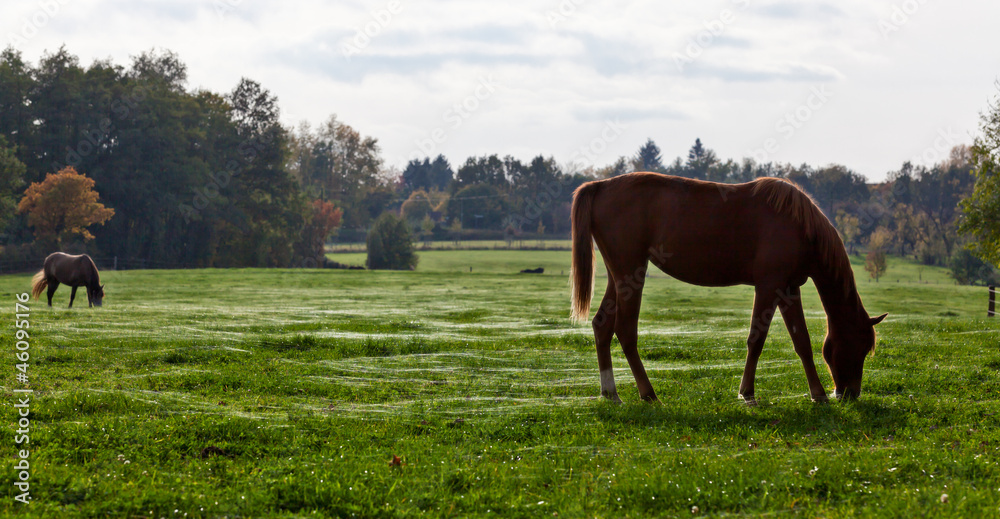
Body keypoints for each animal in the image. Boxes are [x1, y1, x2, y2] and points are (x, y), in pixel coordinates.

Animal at [568, 173, 888, 404]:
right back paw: (648, 393)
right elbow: (756, 339)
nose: (850, 394)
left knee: (602, 325)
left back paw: (611, 393)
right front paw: (747, 393)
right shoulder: (769, 287)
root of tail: (600, 186)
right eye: (859, 346)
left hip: (620, 277)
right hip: (629, 274)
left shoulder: (788, 289)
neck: (798, 224)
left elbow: (802, 342)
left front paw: (818, 394)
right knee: (625, 331)